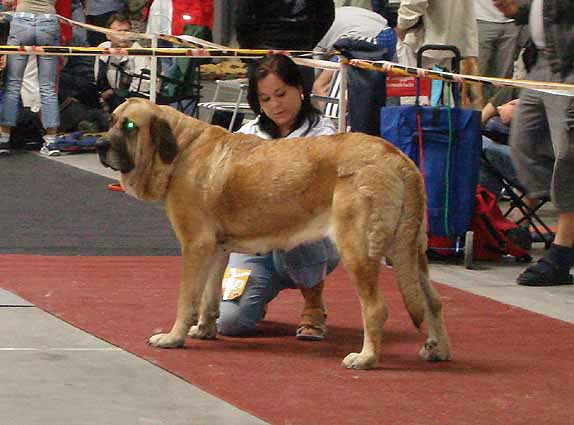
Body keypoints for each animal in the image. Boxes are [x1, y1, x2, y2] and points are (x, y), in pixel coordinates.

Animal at [97, 98, 452, 368]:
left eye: (129, 127)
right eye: (112, 119)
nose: (100, 144)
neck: (181, 150)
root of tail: (399, 158)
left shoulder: (195, 245)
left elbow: (187, 297)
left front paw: (173, 337)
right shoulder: (217, 248)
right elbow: (210, 295)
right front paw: (204, 329)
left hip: (359, 250)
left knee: (377, 308)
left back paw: (365, 359)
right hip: (409, 250)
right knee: (432, 300)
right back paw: (438, 349)